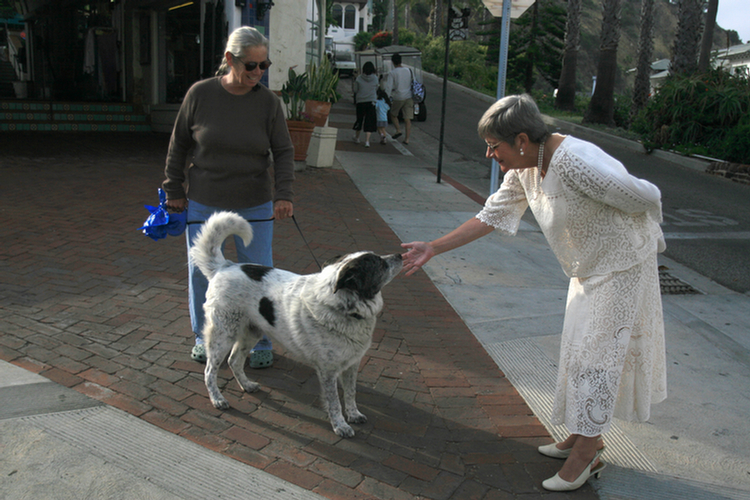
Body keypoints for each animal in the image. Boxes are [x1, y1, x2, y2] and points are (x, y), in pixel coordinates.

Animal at [192, 211, 406, 438]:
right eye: (380, 263)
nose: (400, 254)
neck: (344, 307)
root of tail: (224, 266)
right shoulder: (328, 371)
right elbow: (334, 402)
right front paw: (340, 425)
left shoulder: (352, 364)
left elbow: (350, 393)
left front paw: (354, 414)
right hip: (222, 334)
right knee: (209, 370)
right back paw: (217, 399)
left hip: (252, 332)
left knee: (234, 361)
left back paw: (247, 385)